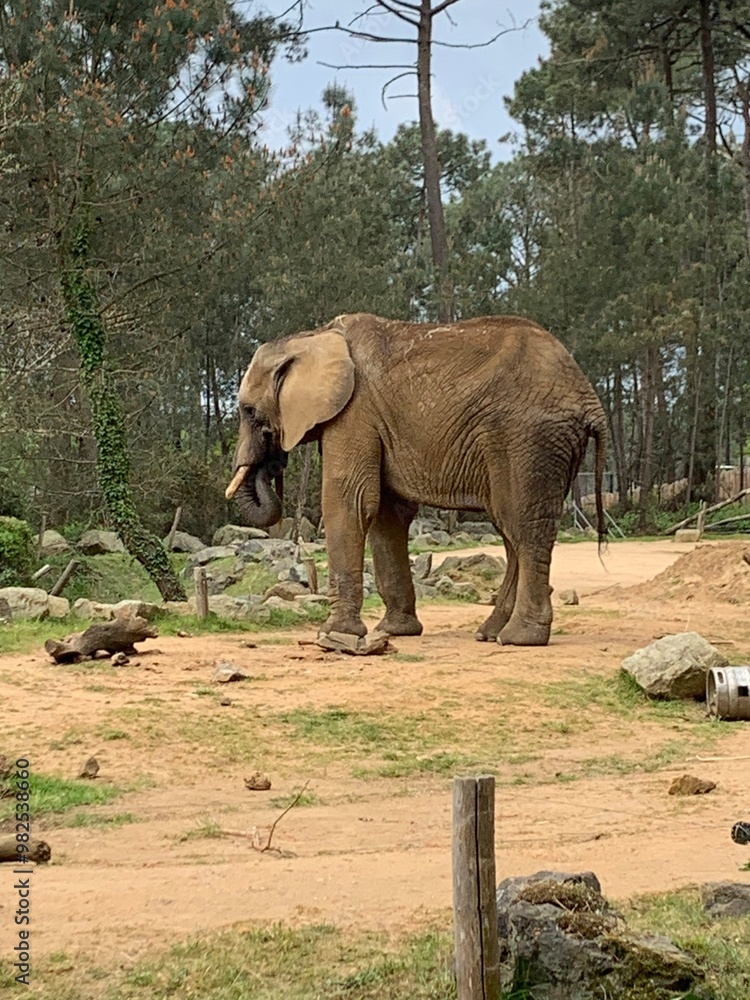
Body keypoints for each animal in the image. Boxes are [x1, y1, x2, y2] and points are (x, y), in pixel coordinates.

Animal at [225, 312, 606, 646]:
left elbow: (349, 501)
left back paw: (518, 638)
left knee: (525, 527)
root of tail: (589, 398)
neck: (312, 335)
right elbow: (386, 514)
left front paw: (333, 637)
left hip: (528, 439)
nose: (274, 465)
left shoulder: (355, 412)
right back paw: (490, 633)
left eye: (249, 411)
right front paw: (395, 631)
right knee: (510, 528)